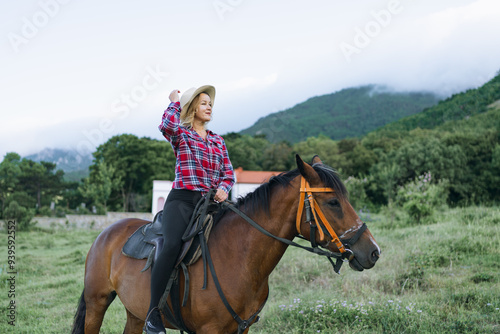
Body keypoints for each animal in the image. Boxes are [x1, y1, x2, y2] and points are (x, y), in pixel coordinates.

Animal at [72, 155, 380, 332]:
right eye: (333, 202)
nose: (373, 251)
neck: (240, 259)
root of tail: (106, 233)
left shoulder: (241, 330)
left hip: (134, 313)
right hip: (97, 303)